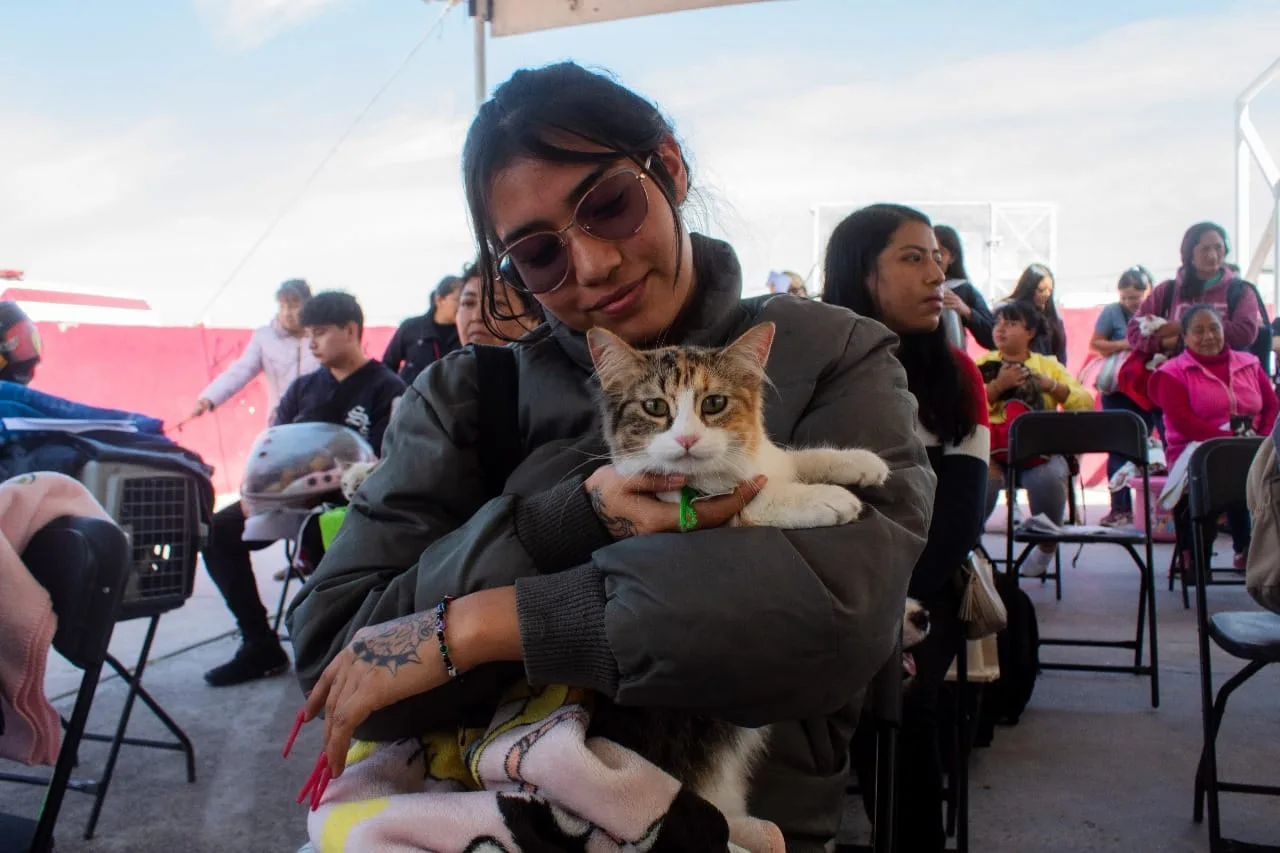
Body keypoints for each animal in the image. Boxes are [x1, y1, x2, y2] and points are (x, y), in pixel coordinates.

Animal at [581, 320, 890, 824]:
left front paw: (857, 462)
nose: (687, 440)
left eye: (714, 403)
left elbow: (791, 459)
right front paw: (824, 498)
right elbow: (755, 502)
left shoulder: (767, 459)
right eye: (655, 407)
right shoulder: (693, 518)